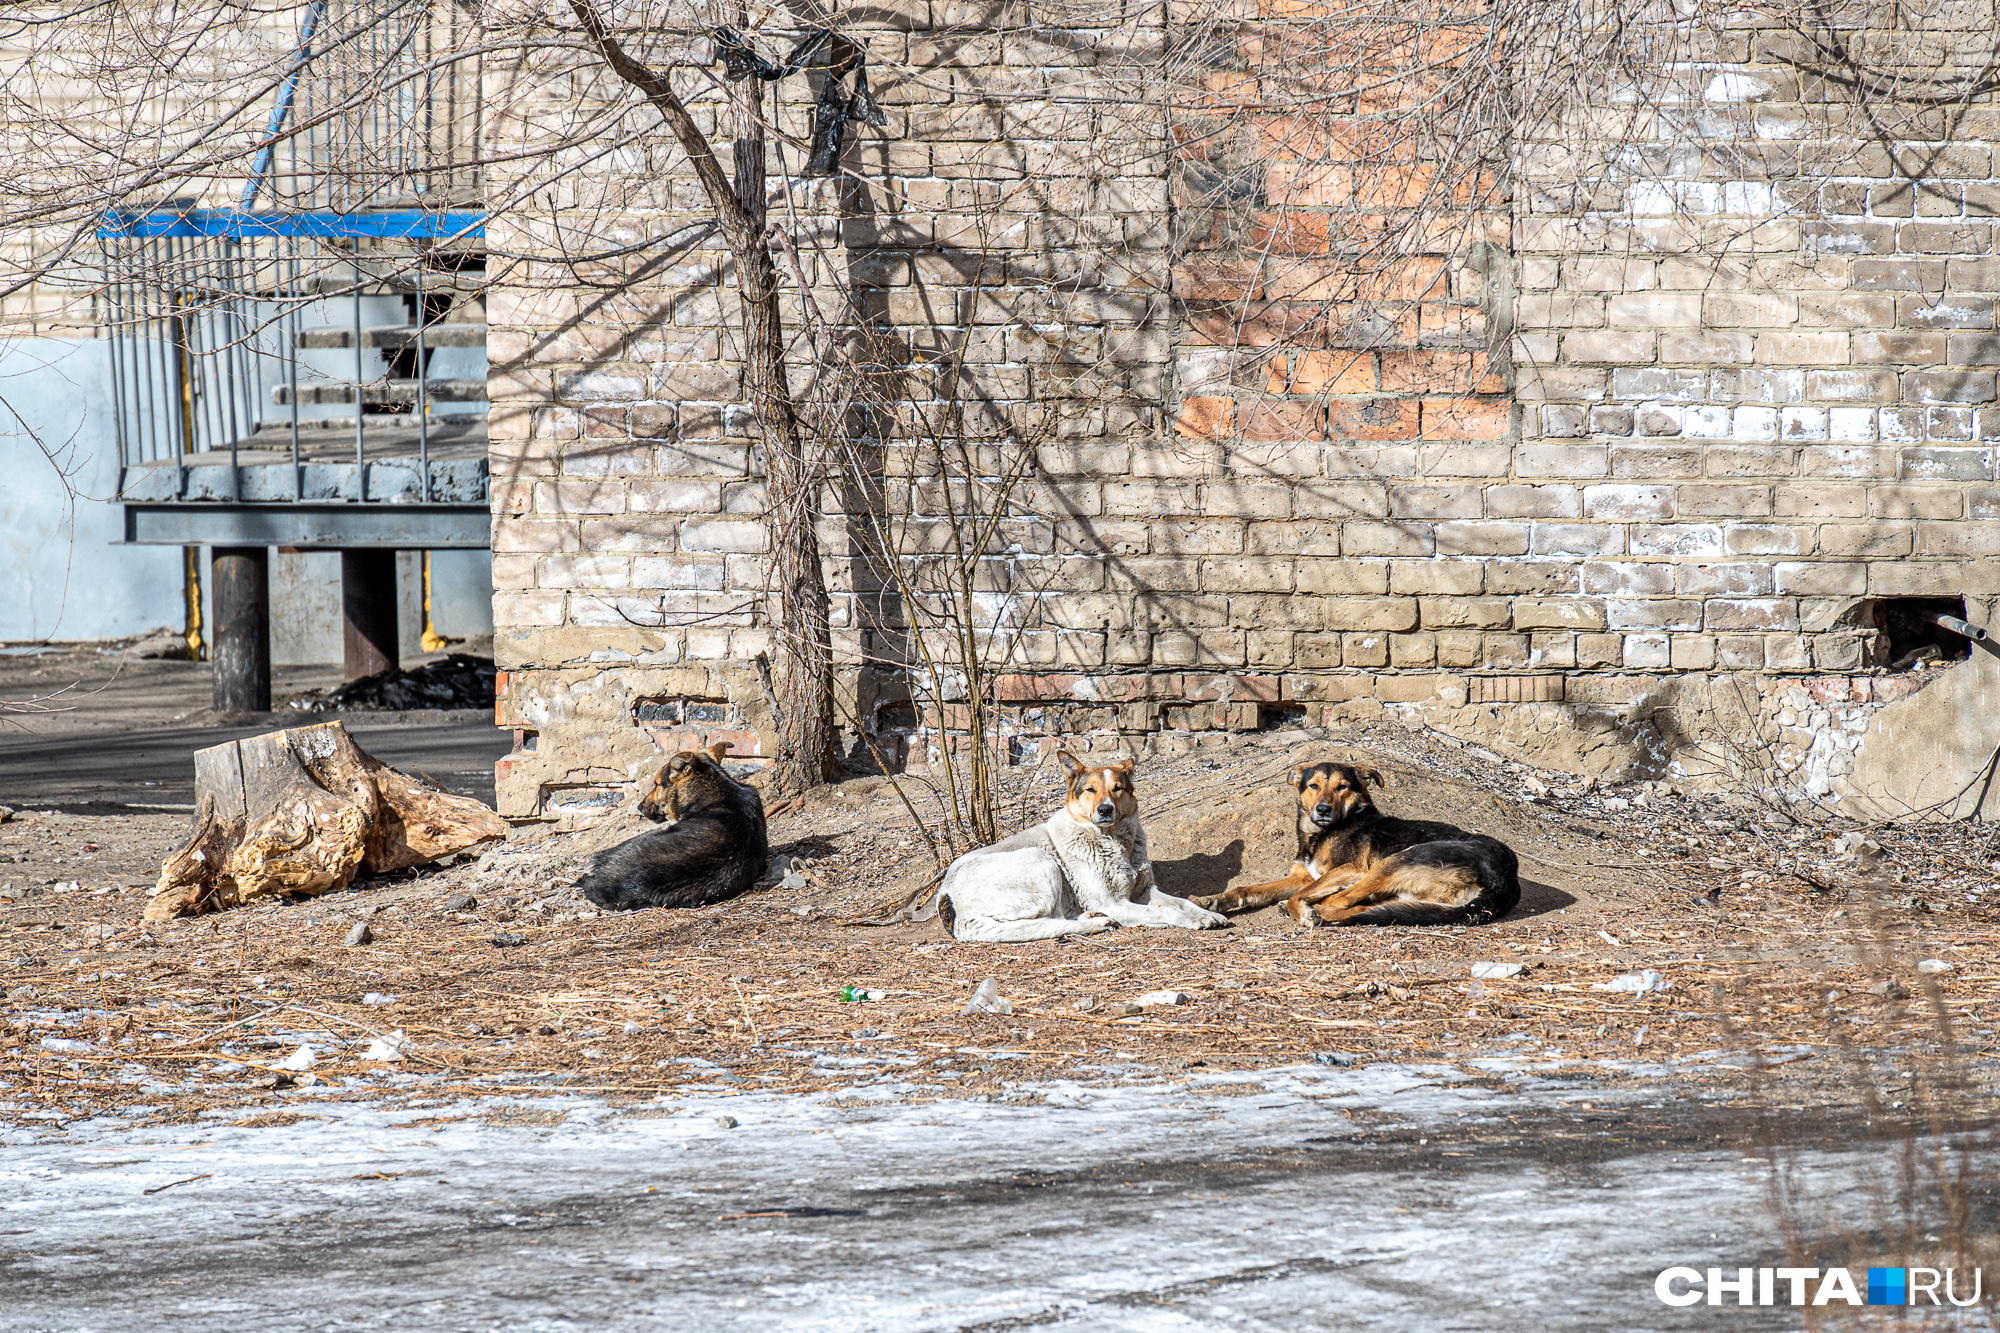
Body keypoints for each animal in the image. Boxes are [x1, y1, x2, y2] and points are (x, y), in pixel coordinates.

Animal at [928, 748, 1224, 944]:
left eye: (1117, 788)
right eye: (1090, 790)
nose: (1105, 810)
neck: (1114, 841)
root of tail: (947, 895)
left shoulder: (1145, 891)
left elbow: (1181, 901)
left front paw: (1206, 912)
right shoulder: (1117, 903)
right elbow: (1167, 910)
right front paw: (1195, 920)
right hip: (1042, 861)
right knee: (1050, 921)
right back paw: (1096, 921)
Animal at [1184, 756, 1512, 924]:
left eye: (1342, 787)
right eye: (1313, 785)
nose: (1323, 809)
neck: (1323, 833)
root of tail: (1503, 881)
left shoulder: (1350, 869)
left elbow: (1302, 894)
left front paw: (1302, 910)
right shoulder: (1303, 876)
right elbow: (1250, 888)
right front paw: (1214, 899)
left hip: (1392, 862)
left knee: (1341, 900)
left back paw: (1310, 912)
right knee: (1362, 907)